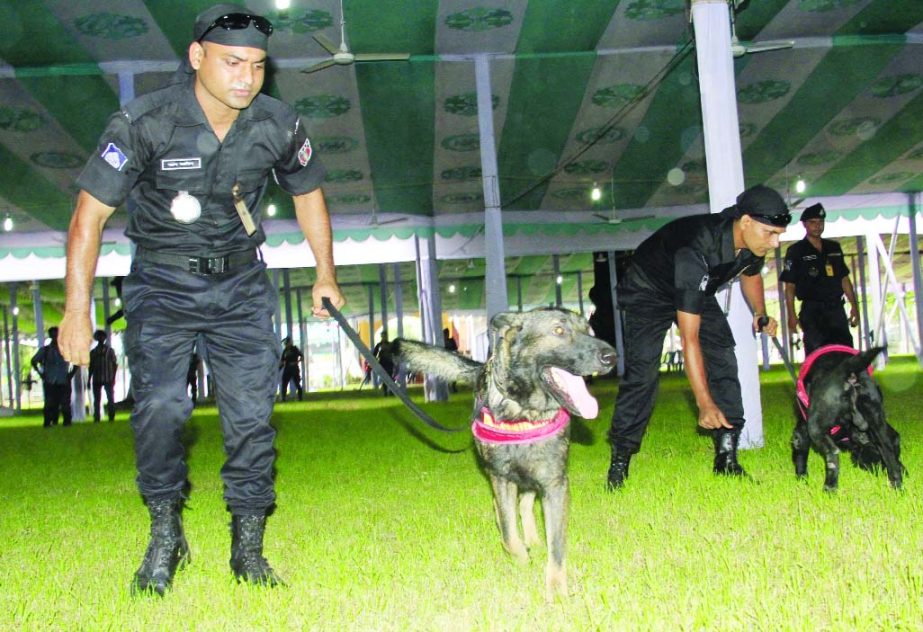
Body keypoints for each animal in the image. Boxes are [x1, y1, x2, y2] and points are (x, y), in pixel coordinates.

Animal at [394, 308, 616, 600]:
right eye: (558, 331)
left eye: (588, 330)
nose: (612, 357)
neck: (524, 412)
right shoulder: (501, 478)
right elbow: (510, 533)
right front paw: (521, 560)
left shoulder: (554, 483)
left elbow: (556, 543)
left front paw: (556, 586)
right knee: (504, 508)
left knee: (525, 503)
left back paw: (533, 537)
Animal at [792, 346, 904, 494]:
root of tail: (848, 371)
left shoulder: (801, 433)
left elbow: (800, 459)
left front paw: (801, 481)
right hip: (878, 423)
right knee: (889, 454)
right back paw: (898, 487)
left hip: (815, 426)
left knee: (833, 455)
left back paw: (829, 489)